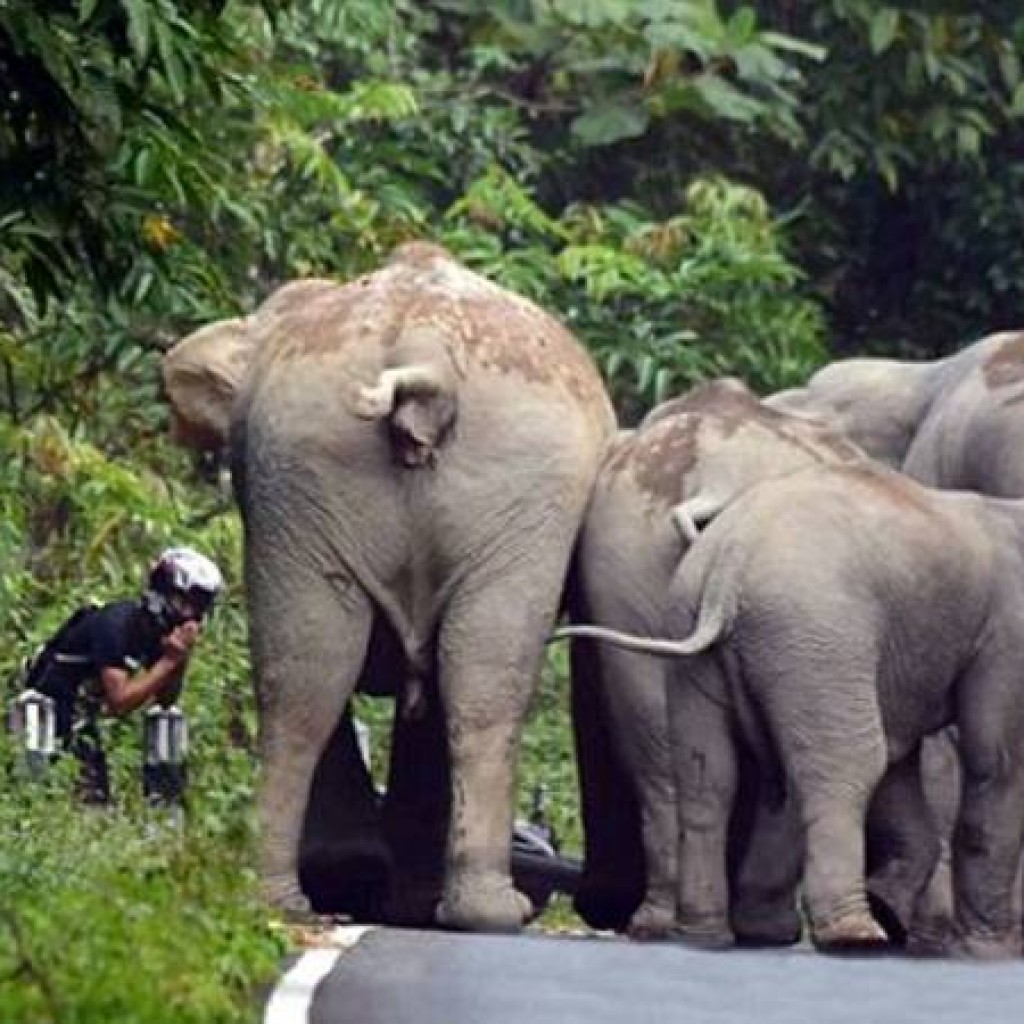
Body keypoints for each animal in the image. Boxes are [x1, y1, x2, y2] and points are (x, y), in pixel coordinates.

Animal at [165, 243, 614, 933]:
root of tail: (424, 355)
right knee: (434, 675)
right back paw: (453, 906)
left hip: (320, 478)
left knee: (317, 672)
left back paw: (316, 895)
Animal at [561, 464, 1024, 958]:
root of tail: (731, 556)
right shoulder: (1007, 633)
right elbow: (994, 762)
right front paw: (987, 952)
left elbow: (904, 761)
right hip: (817, 635)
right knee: (848, 765)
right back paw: (854, 935)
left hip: (692, 630)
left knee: (709, 777)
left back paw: (708, 936)